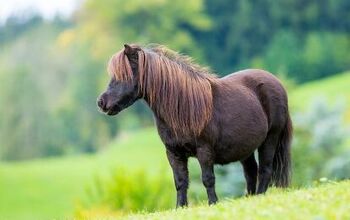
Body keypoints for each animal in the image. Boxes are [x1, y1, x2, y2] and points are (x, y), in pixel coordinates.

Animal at [97, 43, 292, 207]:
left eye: (123, 76)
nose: (101, 102)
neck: (183, 106)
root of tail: (276, 82)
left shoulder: (204, 151)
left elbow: (208, 178)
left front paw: (213, 203)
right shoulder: (173, 153)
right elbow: (180, 181)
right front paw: (180, 207)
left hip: (270, 139)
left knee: (265, 170)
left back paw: (259, 197)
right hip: (246, 147)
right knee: (251, 171)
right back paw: (249, 198)